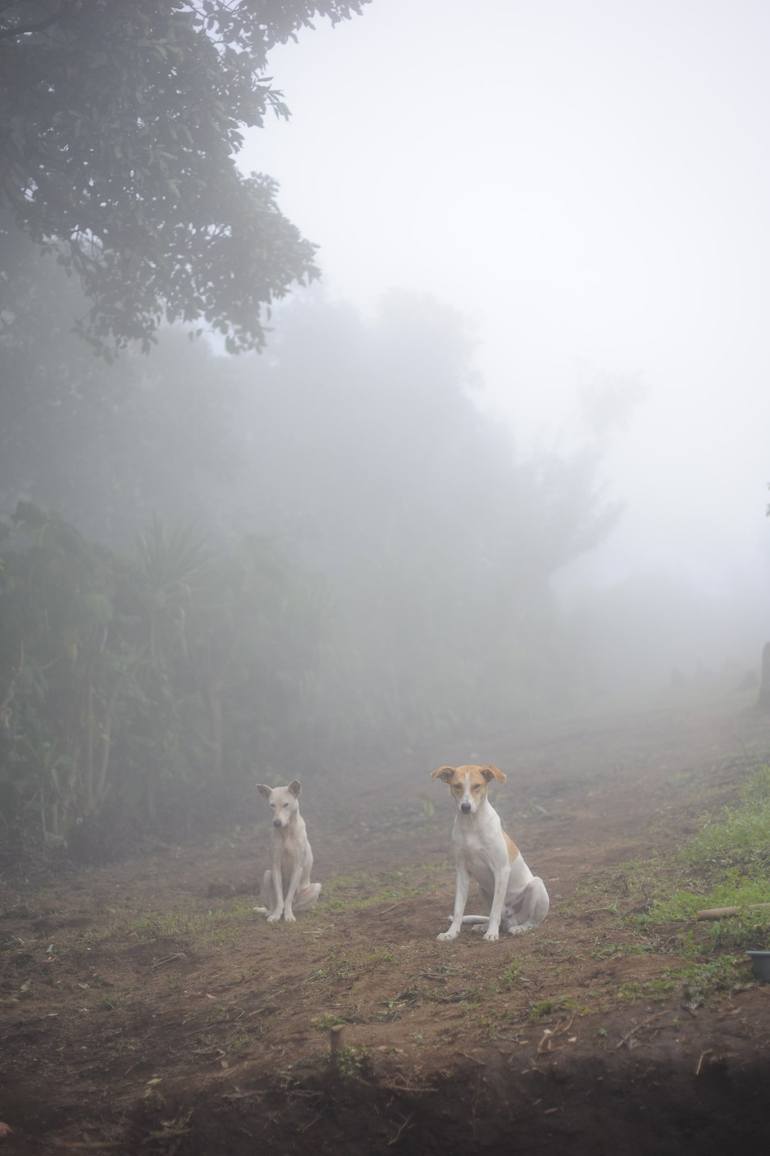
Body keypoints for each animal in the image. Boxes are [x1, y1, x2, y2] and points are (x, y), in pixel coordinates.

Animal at [254, 776, 321, 920]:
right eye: (272, 805)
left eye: (286, 804)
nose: (277, 823)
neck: (286, 832)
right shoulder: (275, 866)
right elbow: (280, 898)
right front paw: (276, 916)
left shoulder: (297, 867)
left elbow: (288, 897)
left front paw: (288, 916)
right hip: (267, 875)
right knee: (272, 904)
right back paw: (271, 912)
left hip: (316, 887)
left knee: (297, 905)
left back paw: (296, 910)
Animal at [432, 762, 545, 943]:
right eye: (457, 786)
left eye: (477, 786)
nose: (465, 807)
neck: (471, 825)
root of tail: (511, 919)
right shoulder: (462, 872)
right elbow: (458, 909)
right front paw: (451, 933)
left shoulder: (501, 870)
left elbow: (495, 910)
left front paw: (492, 933)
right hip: (482, 888)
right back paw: (482, 926)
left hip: (537, 886)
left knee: (532, 922)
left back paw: (519, 928)